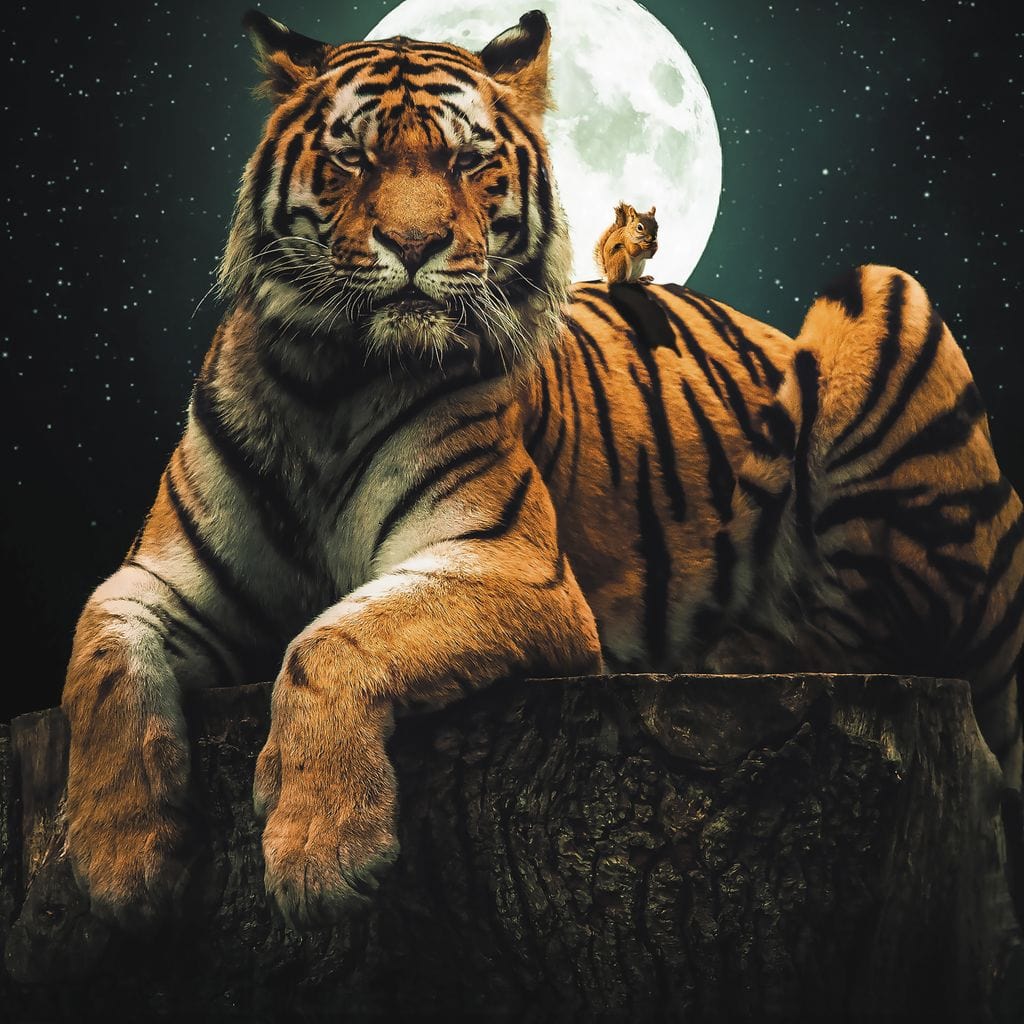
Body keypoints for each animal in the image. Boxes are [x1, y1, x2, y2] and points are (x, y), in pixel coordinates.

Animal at [61, 8, 1024, 933]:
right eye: (353, 157)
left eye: (468, 160)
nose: (414, 244)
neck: (325, 386)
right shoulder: (163, 579)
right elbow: (100, 662)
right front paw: (119, 864)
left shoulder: (507, 564)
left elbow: (328, 640)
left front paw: (320, 852)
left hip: (884, 298)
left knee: (891, 627)